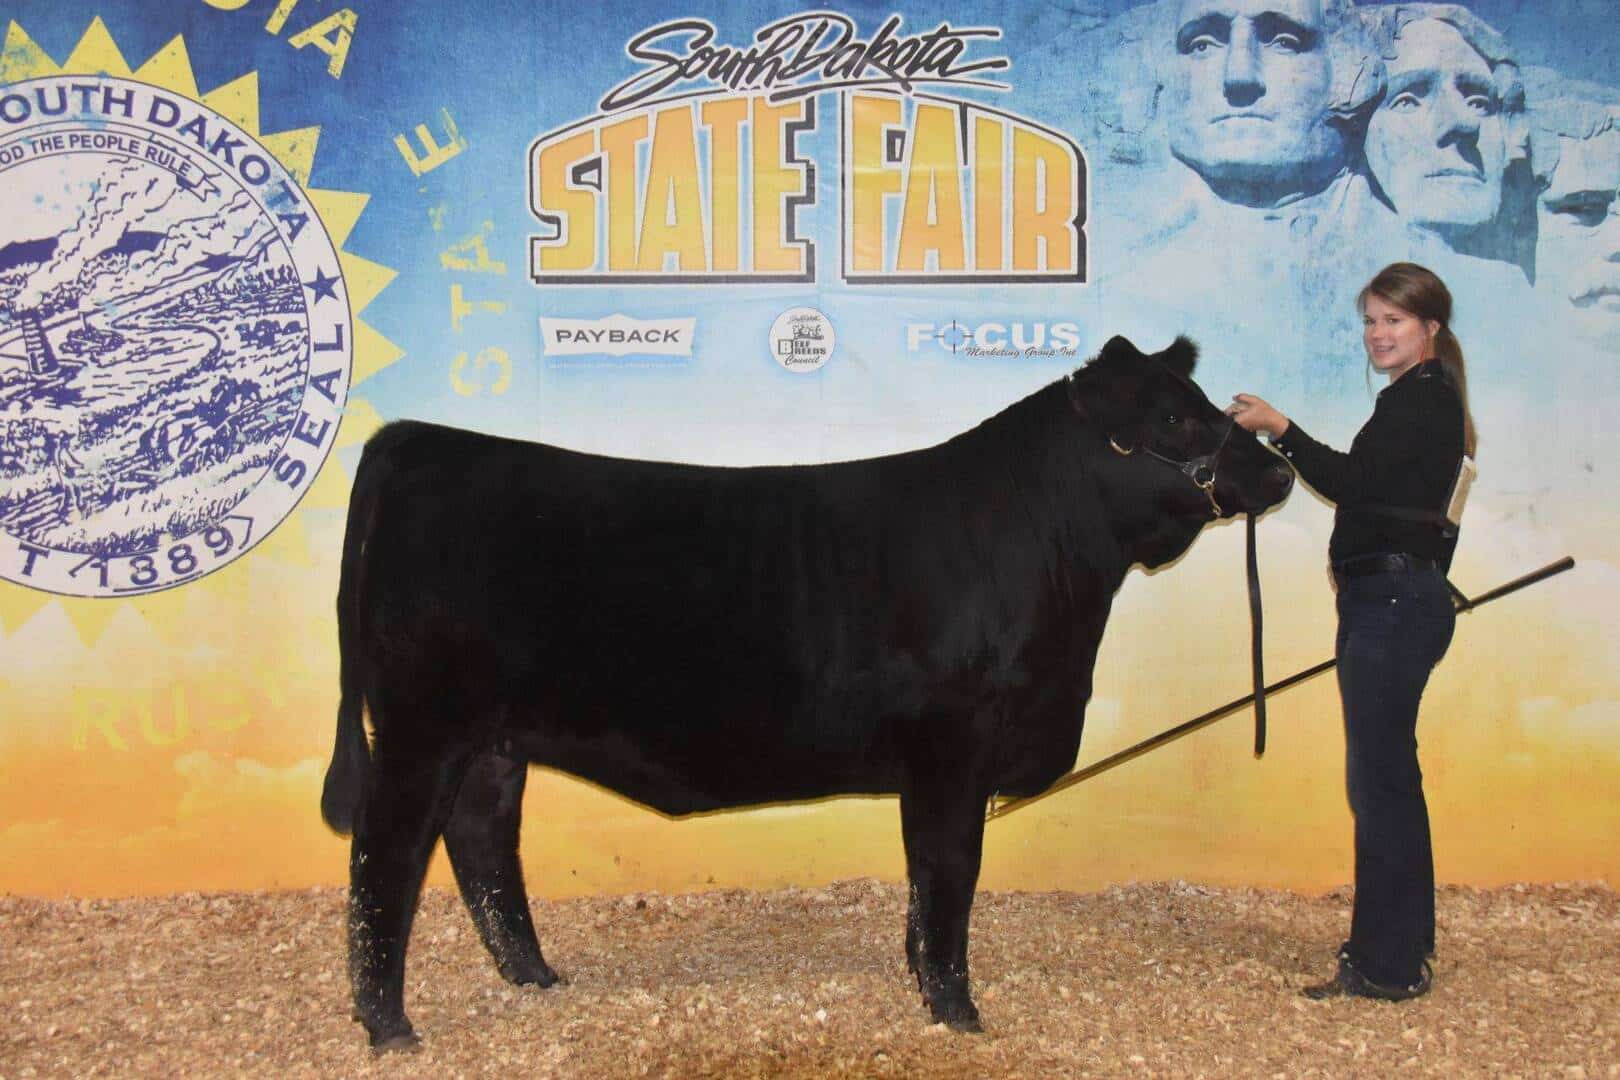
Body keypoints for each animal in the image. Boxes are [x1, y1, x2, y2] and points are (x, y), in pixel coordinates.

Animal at [320, 334, 1294, 1049]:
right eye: (1172, 415)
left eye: (1207, 404)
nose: (1282, 471)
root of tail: (418, 438)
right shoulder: (953, 744)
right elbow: (949, 871)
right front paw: (957, 1011)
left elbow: (927, 880)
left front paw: (925, 984)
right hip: (421, 724)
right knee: (386, 854)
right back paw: (388, 1024)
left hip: (492, 739)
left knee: (482, 843)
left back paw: (535, 978)